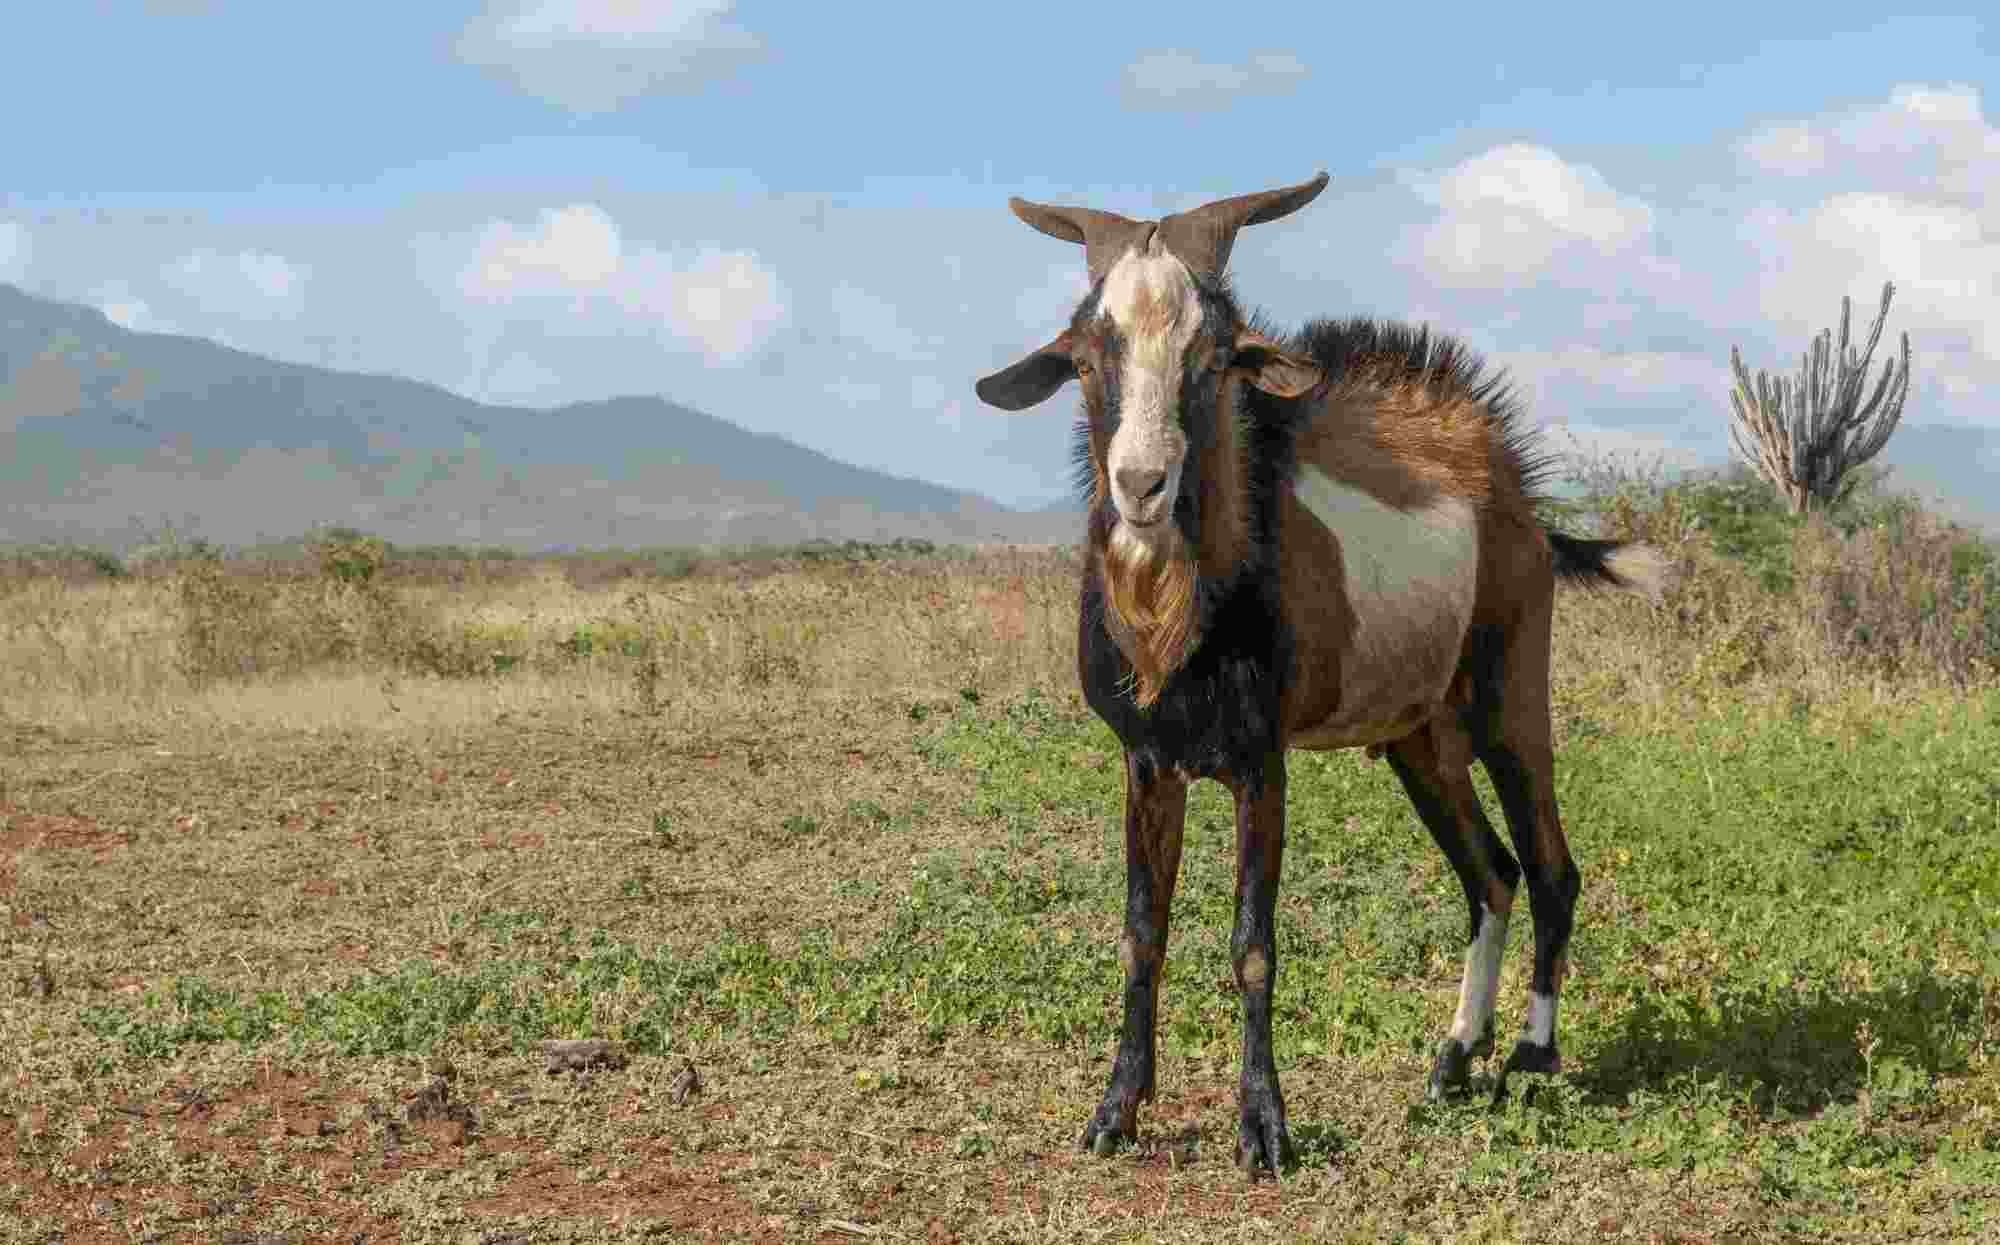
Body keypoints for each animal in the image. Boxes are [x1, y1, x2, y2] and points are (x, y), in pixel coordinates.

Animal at [973, 172, 1669, 1176]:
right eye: (1087, 352)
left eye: (1217, 354)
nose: (1142, 486)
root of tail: (1521, 501)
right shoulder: (1149, 760)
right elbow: (1143, 933)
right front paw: (1115, 1113)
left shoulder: (1262, 761)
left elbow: (1253, 941)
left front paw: (1264, 1127)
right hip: (1421, 739)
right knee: (1491, 873)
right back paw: (1454, 1058)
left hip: (1512, 696)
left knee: (1549, 865)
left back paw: (1532, 1057)